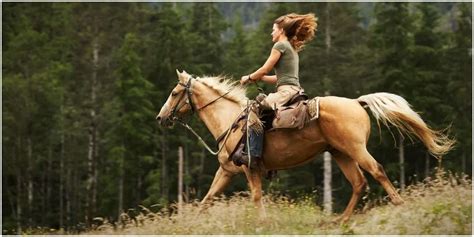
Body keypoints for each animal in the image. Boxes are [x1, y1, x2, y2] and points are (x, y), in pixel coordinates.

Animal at [156, 70, 456, 222]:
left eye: (174, 92)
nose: (160, 118)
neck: (231, 120)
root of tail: (357, 102)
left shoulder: (250, 169)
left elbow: (256, 197)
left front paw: (262, 224)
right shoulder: (227, 171)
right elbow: (207, 198)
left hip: (356, 150)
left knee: (377, 171)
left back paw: (398, 204)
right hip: (341, 154)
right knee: (359, 183)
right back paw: (339, 221)